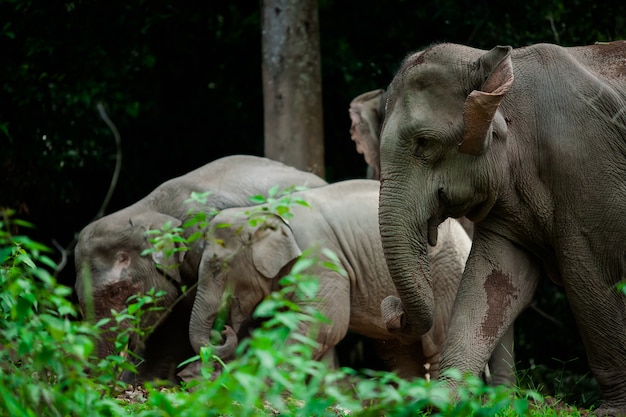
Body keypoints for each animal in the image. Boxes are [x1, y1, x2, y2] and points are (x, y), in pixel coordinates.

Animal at [184, 180, 512, 384]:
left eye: (217, 267)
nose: (225, 330)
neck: (263, 209)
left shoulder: (321, 260)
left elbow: (323, 323)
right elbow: (319, 329)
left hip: (448, 275)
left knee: (440, 346)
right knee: (402, 355)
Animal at [376, 40, 624, 414]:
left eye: (424, 143)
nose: (392, 308)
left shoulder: (588, 166)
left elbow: (594, 278)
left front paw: (613, 411)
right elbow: (494, 278)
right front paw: (442, 401)